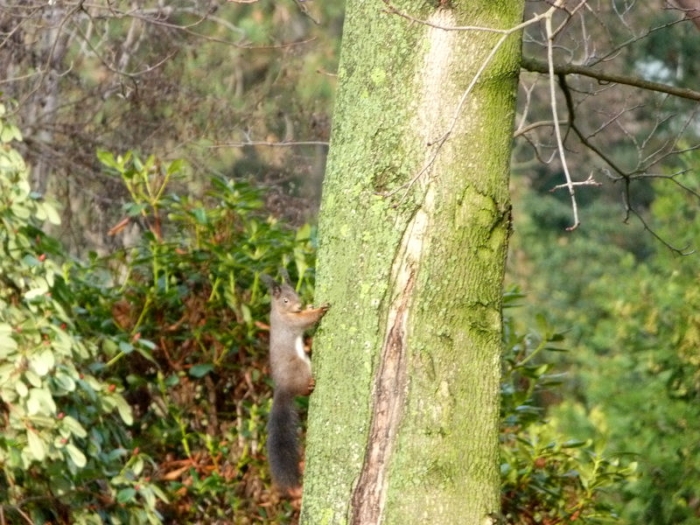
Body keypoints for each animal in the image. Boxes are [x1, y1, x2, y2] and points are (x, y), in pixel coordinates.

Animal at [260, 270, 330, 494]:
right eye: (285, 299)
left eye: (296, 293)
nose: (299, 305)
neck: (281, 312)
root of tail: (283, 389)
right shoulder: (290, 323)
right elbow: (304, 321)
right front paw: (318, 310)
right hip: (300, 368)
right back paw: (310, 385)